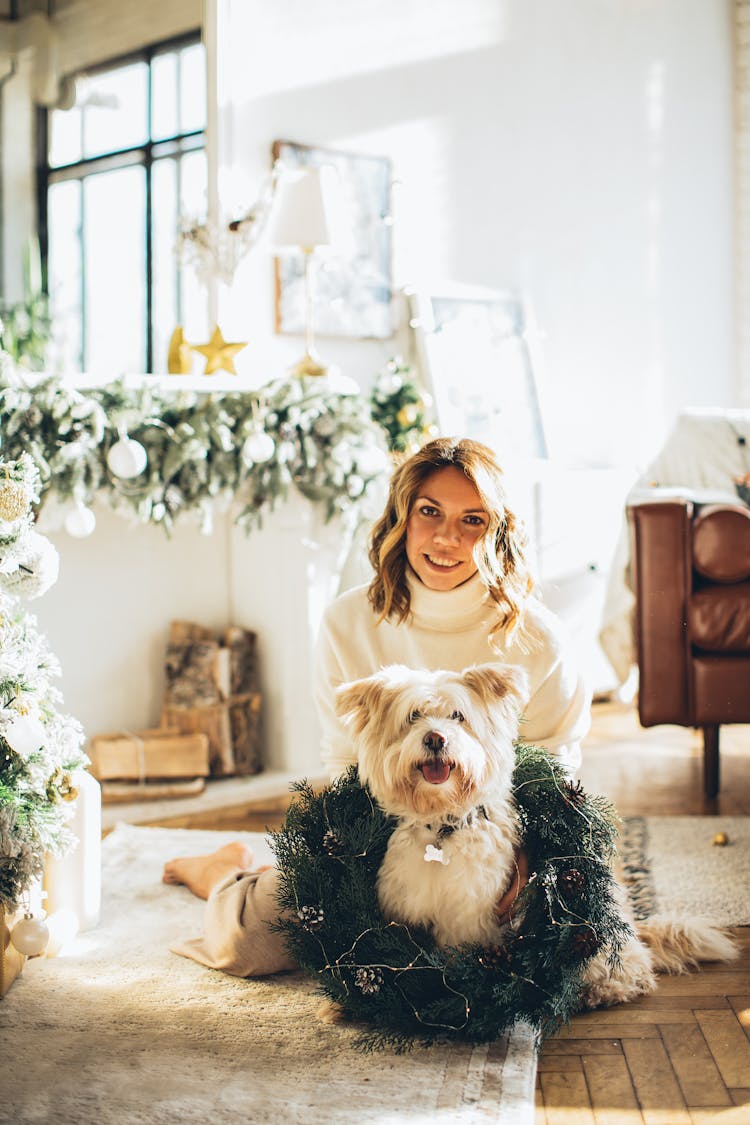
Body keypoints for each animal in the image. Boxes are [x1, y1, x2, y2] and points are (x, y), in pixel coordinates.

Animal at [335, 666, 737, 1012]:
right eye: (413, 717)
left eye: (458, 716)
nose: (436, 739)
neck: (443, 826)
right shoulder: (402, 909)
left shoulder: (467, 918)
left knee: (632, 970)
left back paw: (601, 990)